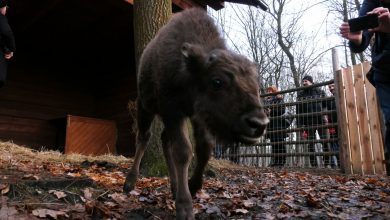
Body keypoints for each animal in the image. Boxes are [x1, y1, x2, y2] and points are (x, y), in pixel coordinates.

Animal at [124, 7, 268, 219]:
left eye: (256, 84)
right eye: (217, 81)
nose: (259, 124)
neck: (188, 72)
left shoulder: (195, 115)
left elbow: (205, 147)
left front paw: (192, 186)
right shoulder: (172, 111)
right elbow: (184, 151)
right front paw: (185, 207)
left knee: (164, 140)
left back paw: (174, 186)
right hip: (145, 106)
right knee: (144, 137)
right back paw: (129, 182)